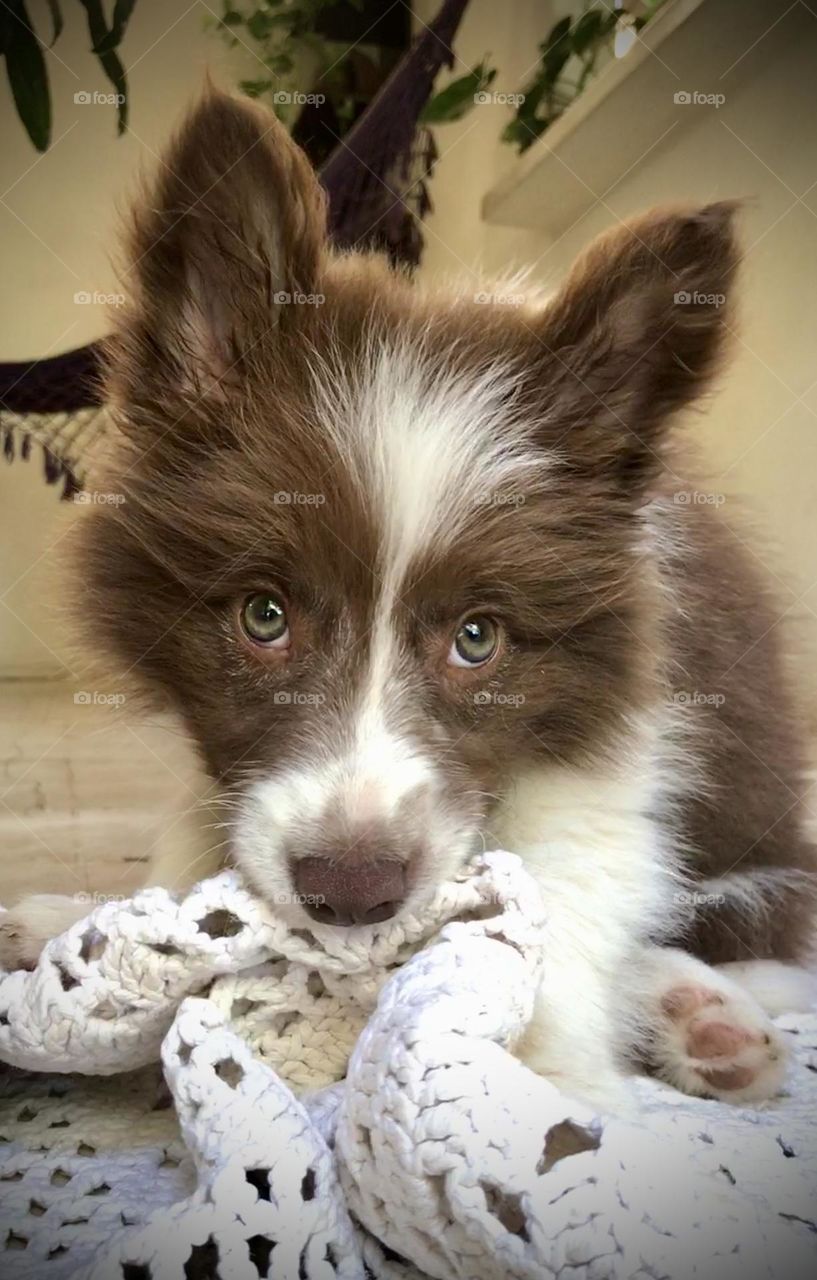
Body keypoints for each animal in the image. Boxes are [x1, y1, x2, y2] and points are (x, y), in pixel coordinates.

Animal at [3, 90, 814, 1111]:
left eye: (478, 637)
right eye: (263, 615)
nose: (350, 894)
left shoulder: (623, 706)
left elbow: (575, 865)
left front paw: (543, 1079)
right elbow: (195, 846)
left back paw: (700, 1016)